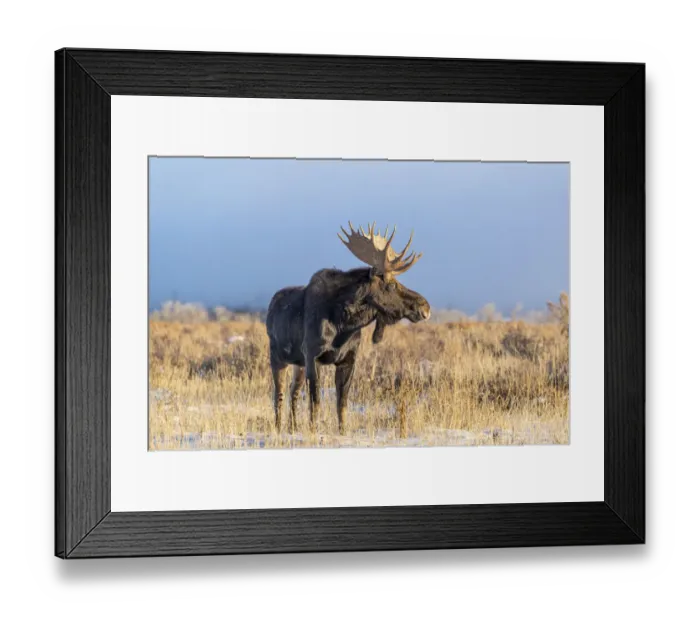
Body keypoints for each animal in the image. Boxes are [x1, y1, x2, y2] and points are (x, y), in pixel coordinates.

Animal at [265, 222, 430, 434]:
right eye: (392, 284)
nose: (425, 307)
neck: (343, 325)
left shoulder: (348, 359)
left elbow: (342, 403)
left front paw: (342, 432)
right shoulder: (312, 356)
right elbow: (315, 402)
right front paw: (313, 431)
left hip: (297, 363)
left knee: (293, 393)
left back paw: (292, 428)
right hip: (277, 357)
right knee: (278, 395)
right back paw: (278, 429)